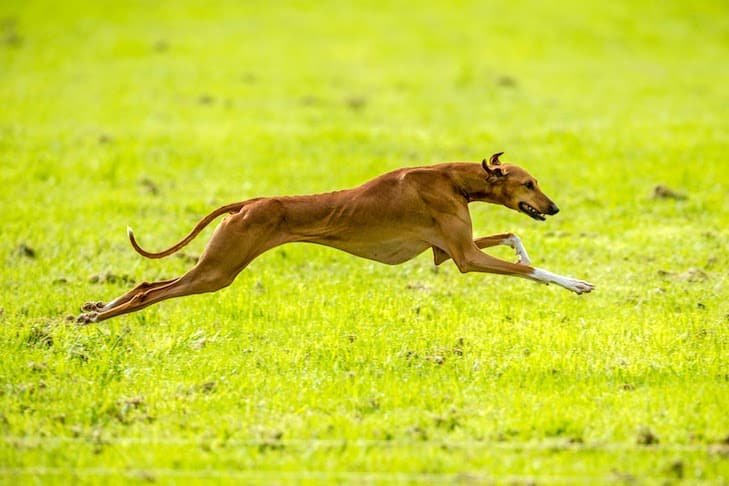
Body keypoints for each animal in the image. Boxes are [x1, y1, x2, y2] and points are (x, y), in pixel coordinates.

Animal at [79, 152, 592, 324]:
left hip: (216, 267)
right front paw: (577, 283)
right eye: (529, 183)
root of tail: (248, 203)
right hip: (217, 270)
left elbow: (511, 237)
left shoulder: (446, 253)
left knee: (146, 284)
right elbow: (532, 269)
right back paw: (97, 317)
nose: (553, 208)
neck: (453, 179)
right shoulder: (464, 257)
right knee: (150, 291)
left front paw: (525, 249)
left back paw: (94, 309)